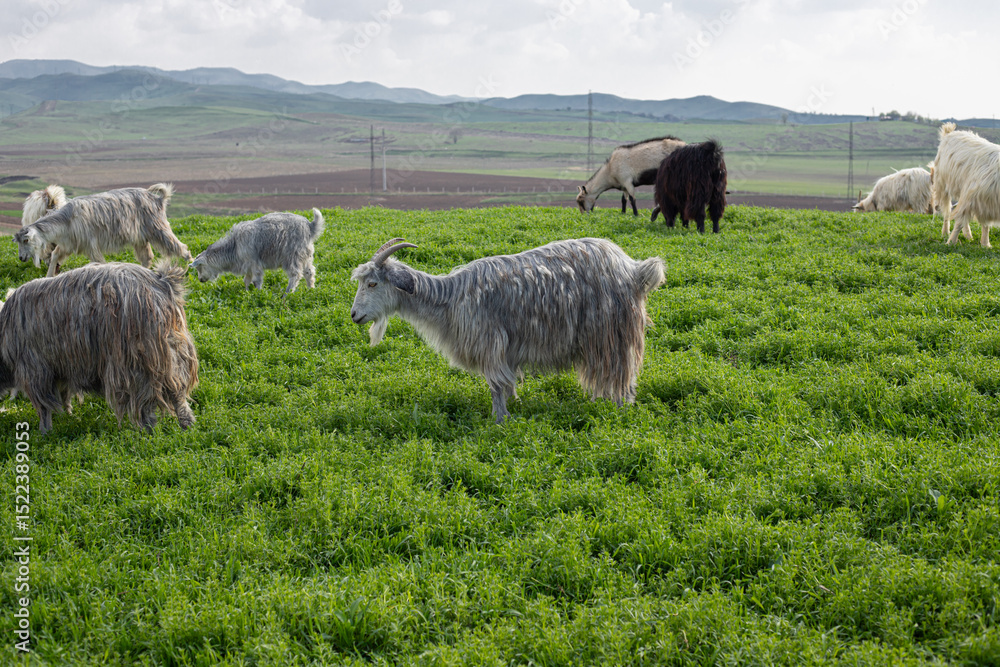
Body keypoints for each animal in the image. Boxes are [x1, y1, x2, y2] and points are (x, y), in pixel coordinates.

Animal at [0, 261, 198, 434]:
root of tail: (163, 283)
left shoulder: (35, 369)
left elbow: (43, 406)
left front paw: (45, 432)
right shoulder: (61, 365)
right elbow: (64, 393)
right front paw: (67, 414)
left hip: (139, 360)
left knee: (145, 401)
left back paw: (147, 432)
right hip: (174, 353)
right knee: (178, 393)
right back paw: (187, 426)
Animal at [12, 183, 191, 277]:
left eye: (26, 240)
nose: (21, 257)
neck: (67, 220)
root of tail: (158, 199)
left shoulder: (91, 245)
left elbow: (98, 262)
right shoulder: (69, 243)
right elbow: (55, 255)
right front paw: (49, 277)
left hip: (158, 229)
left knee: (180, 247)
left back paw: (189, 266)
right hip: (140, 238)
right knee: (147, 258)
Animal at [191, 209, 325, 294]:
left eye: (200, 267)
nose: (200, 280)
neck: (234, 248)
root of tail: (309, 226)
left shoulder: (254, 263)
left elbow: (257, 280)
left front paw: (258, 294)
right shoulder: (247, 265)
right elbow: (247, 279)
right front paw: (246, 292)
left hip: (292, 255)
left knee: (295, 274)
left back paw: (287, 293)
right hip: (306, 255)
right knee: (309, 272)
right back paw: (311, 289)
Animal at [350, 237, 665, 422]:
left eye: (373, 283)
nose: (354, 315)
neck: (451, 299)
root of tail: (634, 269)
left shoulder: (490, 342)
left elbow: (495, 385)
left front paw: (499, 419)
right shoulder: (507, 347)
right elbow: (507, 381)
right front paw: (514, 404)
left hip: (612, 333)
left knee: (622, 372)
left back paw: (620, 408)